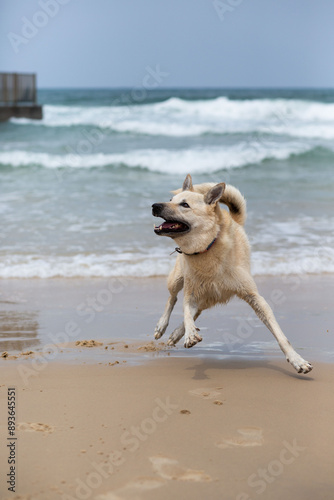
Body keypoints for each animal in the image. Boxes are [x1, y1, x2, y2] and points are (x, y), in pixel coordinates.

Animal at [151, 174, 314, 374]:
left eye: (185, 204)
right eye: (170, 200)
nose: (155, 206)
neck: (207, 248)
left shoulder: (254, 297)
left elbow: (280, 335)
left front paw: (297, 360)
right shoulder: (191, 292)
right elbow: (186, 312)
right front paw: (189, 334)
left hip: (208, 295)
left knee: (196, 309)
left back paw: (175, 333)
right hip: (178, 278)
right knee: (173, 298)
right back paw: (163, 326)